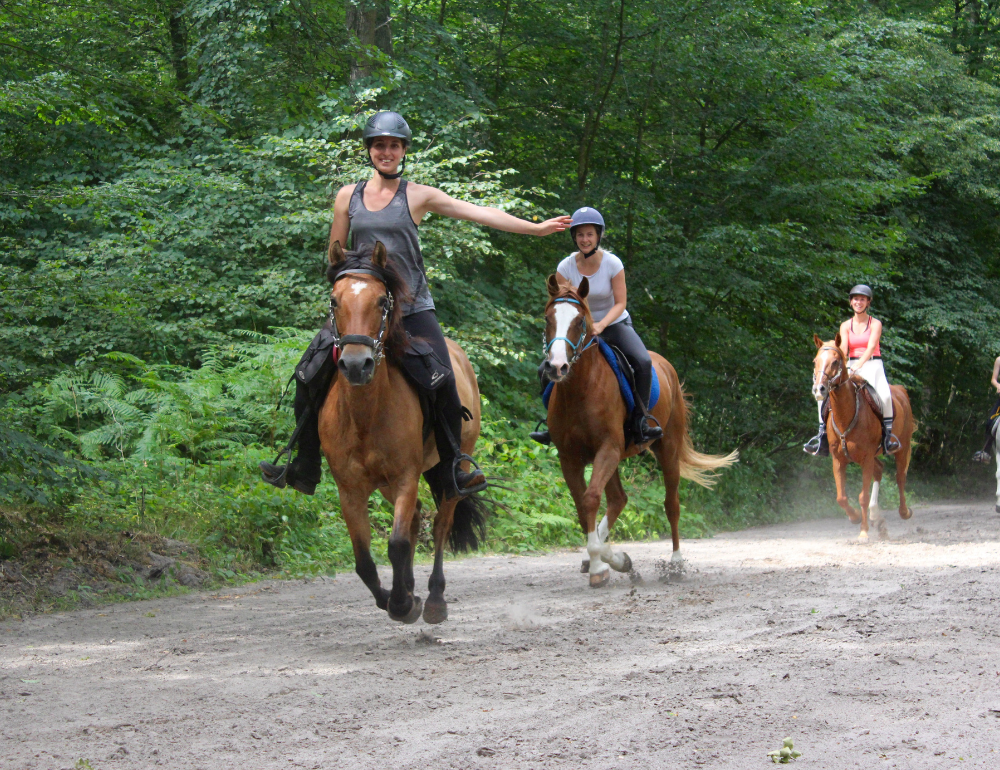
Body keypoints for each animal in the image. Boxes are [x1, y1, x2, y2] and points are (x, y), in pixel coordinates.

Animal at [318, 242, 486, 624]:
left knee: (439, 522)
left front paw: (402, 604)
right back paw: (409, 588)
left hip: (452, 467)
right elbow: (364, 561)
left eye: (382, 301)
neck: (365, 416)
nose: (356, 364)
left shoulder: (405, 476)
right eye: (334, 300)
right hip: (385, 483)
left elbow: (396, 545)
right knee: (415, 519)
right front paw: (397, 598)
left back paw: (434, 598)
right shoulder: (350, 490)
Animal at [544, 280, 740, 584]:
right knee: (618, 499)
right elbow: (581, 506)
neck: (582, 389)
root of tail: (667, 366)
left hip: (667, 449)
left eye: (579, 321)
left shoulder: (608, 449)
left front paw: (601, 564)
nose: (556, 366)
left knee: (671, 505)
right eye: (548, 319)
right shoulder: (570, 458)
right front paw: (605, 559)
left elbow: (590, 499)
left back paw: (675, 564)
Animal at [812, 332, 916, 540]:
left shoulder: (866, 458)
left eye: (835, 362)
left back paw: (904, 512)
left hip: (902, 447)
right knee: (880, 469)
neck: (846, 415)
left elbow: (863, 496)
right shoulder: (838, 459)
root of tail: (900, 390)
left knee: (900, 477)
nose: (819, 389)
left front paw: (863, 532)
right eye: (815, 361)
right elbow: (841, 497)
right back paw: (876, 516)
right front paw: (855, 518)